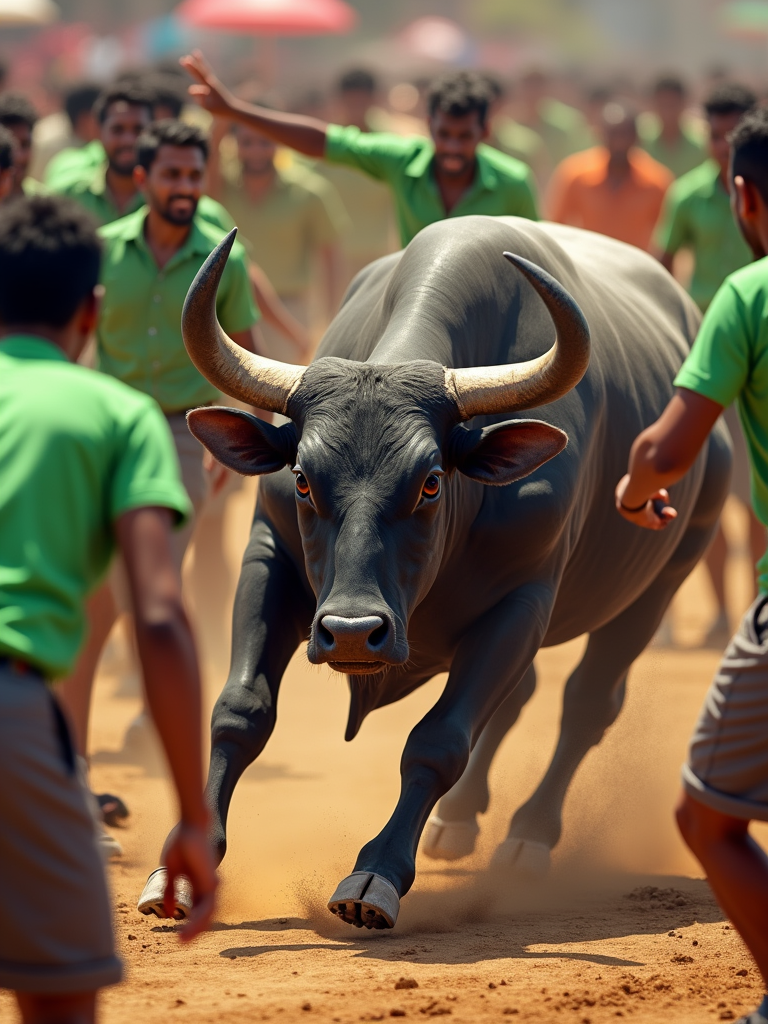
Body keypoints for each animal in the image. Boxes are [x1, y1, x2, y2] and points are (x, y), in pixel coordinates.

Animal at [138, 214, 730, 931]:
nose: (352, 632)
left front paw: (376, 875)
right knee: (522, 697)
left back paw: (529, 836)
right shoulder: (268, 556)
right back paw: (458, 820)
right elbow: (240, 709)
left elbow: (439, 738)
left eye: (430, 482)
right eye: (303, 478)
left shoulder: (524, 600)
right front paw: (183, 866)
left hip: (663, 579)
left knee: (587, 702)